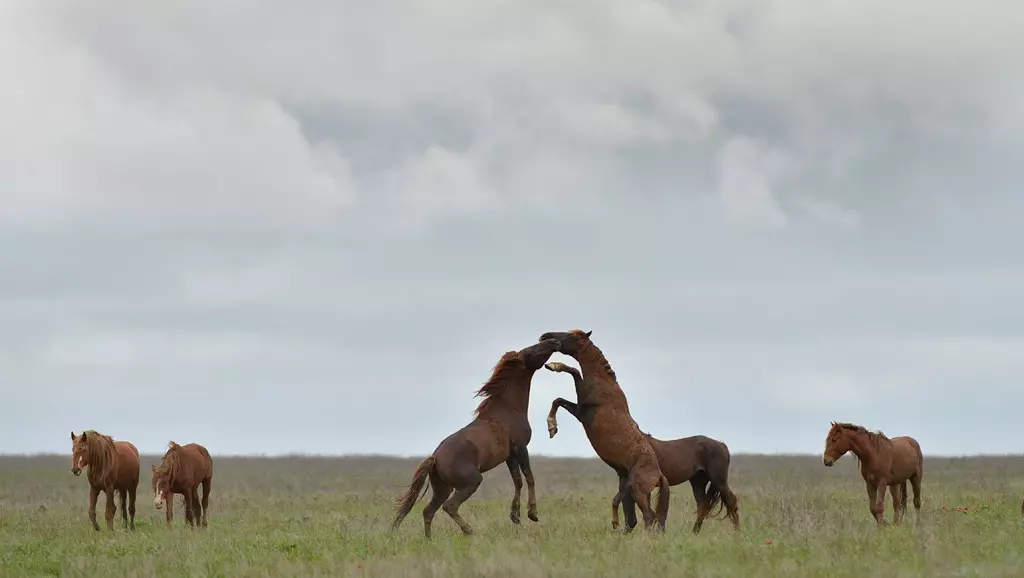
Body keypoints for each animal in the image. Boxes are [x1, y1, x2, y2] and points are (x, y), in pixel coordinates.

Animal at [391, 338, 565, 537]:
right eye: (530, 350)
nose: (555, 341)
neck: (509, 409)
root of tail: (435, 458)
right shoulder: (521, 448)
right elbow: (529, 477)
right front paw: (532, 513)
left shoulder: (510, 456)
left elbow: (518, 481)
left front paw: (515, 515)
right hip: (472, 481)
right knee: (449, 506)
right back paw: (469, 531)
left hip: (443, 488)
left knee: (429, 511)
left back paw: (430, 540)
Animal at [536, 329, 671, 532]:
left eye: (571, 336)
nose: (545, 336)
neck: (604, 383)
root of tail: (659, 475)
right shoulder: (579, 410)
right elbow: (559, 399)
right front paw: (552, 427)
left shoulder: (582, 411)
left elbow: (573, 375)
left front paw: (554, 366)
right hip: (628, 489)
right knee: (634, 519)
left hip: (636, 491)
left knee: (648, 517)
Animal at [548, 360, 741, 532]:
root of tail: (722, 445)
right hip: (698, 480)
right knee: (702, 505)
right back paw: (694, 532)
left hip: (718, 479)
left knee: (730, 501)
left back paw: (737, 533)